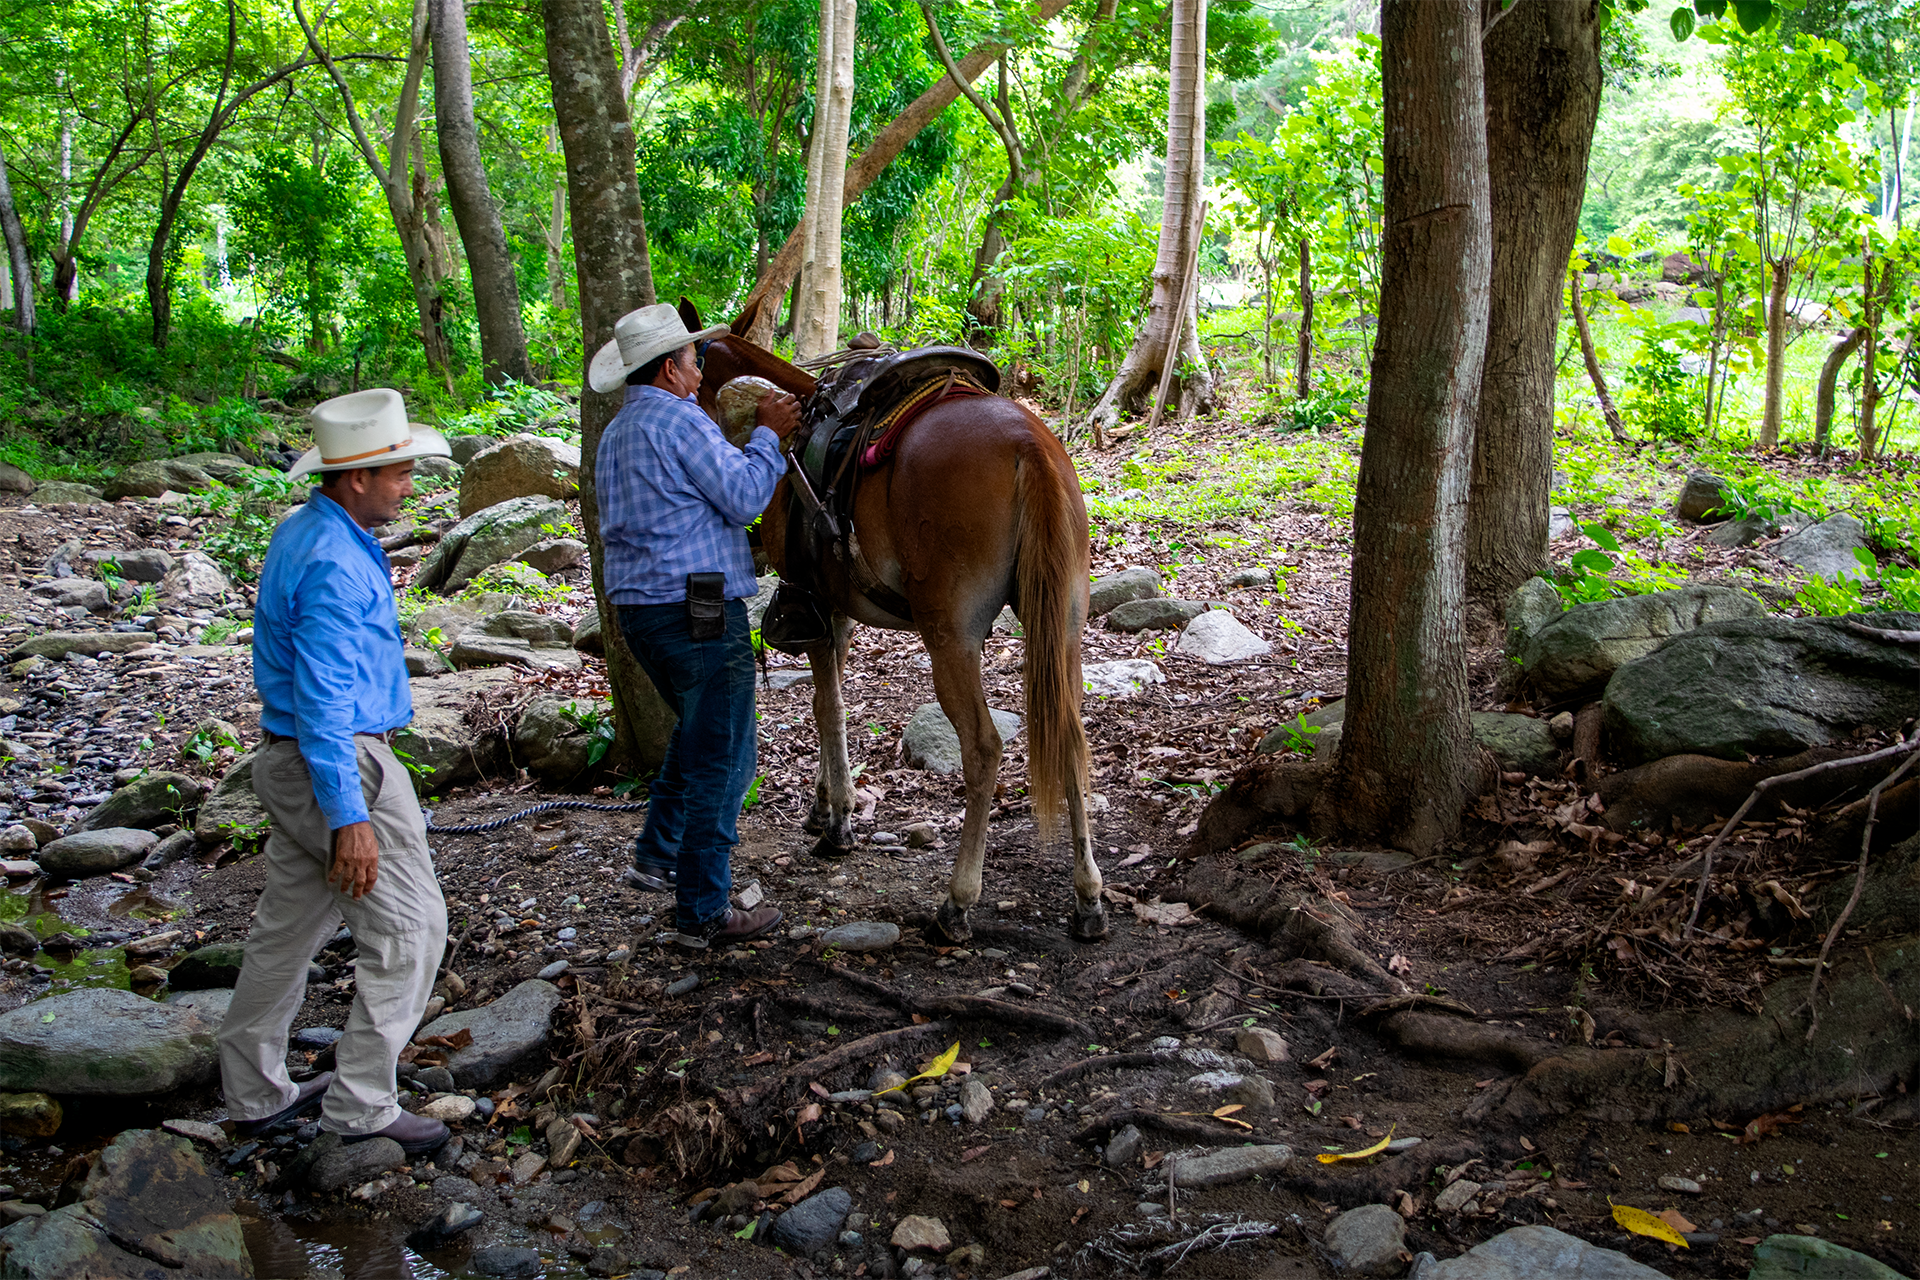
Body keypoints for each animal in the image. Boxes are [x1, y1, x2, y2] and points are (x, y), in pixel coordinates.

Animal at [687, 297, 1113, 940]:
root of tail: (1028, 444)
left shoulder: (818, 603)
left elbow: (828, 707)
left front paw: (838, 823)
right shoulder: (839, 612)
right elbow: (833, 694)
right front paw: (821, 806)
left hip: (951, 635)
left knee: (983, 748)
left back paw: (958, 901)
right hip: (1061, 626)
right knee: (1068, 735)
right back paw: (1088, 896)